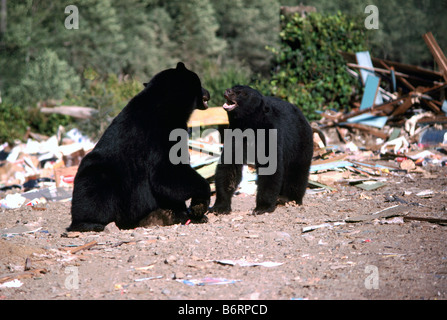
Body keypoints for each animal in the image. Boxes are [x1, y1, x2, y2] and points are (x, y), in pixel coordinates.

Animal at [68, 62, 212, 231]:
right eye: (200, 83)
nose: (208, 92)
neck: (169, 103)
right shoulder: (165, 131)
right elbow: (167, 172)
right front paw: (202, 200)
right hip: (100, 176)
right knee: (91, 188)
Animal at [212, 85, 314, 215]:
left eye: (241, 93)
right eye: (234, 87)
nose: (227, 91)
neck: (249, 124)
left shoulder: (269, 134)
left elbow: (270, 167)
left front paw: (262, 207)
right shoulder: (235, 134)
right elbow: (229, 167)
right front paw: (220, 206)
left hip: (299, 142)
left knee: (297, 170)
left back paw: (289, 199)